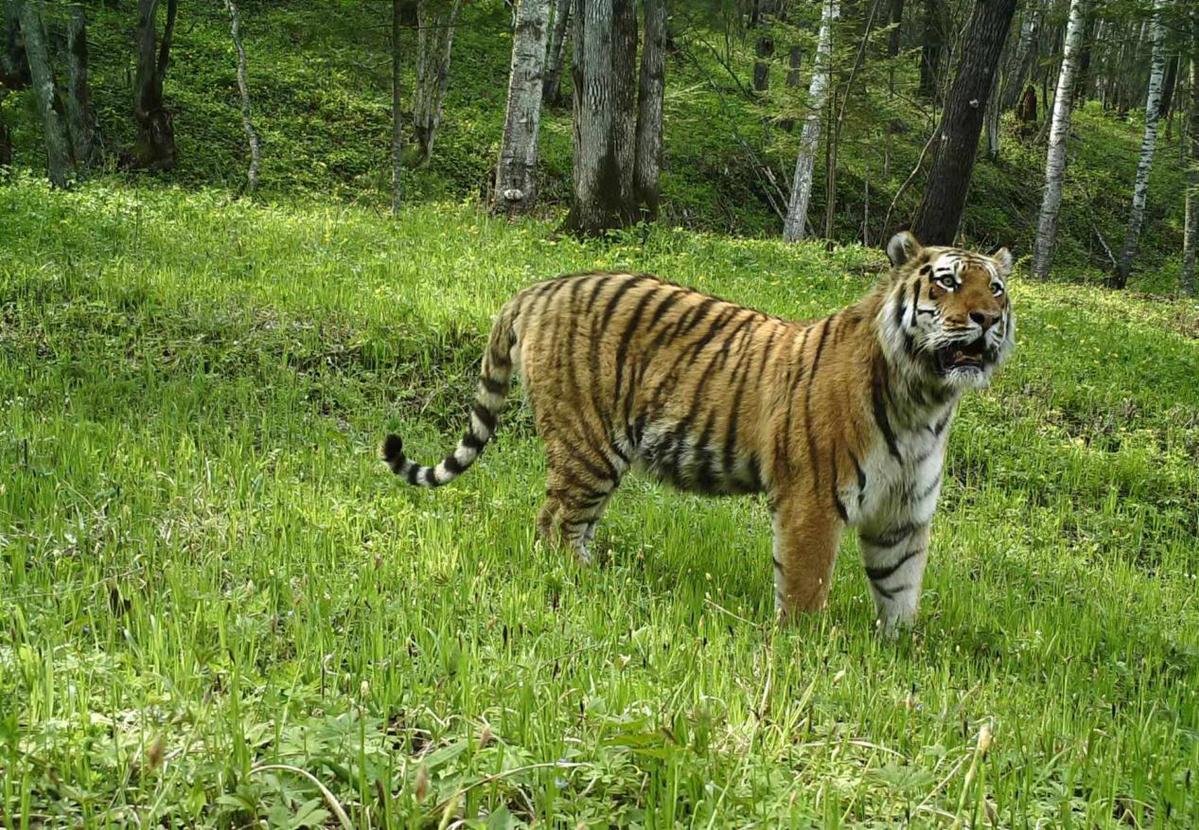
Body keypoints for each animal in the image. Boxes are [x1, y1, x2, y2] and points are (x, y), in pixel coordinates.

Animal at [381, 230, 1011, 633]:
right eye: (947, 281)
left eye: (997, 288)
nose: (987, 319)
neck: (925, 401)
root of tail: (538, 288)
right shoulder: (812, 501)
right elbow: (806, 587)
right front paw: (803, 649)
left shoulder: (903, 514)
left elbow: (900, 589)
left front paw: (899, 652)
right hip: (588, 448)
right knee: (554, 524)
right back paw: (586, 585)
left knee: (570, 525)